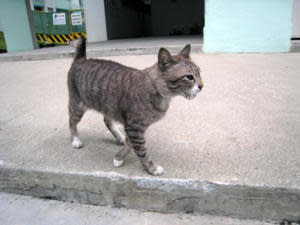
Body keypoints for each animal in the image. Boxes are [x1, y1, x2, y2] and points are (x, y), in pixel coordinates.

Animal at [68, 37, 204, 176]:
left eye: (199, 73)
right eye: (189, 77)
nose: (201, 86)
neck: (157, 91)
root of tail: (81, 59)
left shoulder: (133, 127)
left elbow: (130, 144)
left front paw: (119, 156)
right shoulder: (134, 127)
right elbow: (142, 151)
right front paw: (151, 168)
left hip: (109, 106)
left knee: (107, 121)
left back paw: (119, 137)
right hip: (78, 105)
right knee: (72, 121)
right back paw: (76, 140)